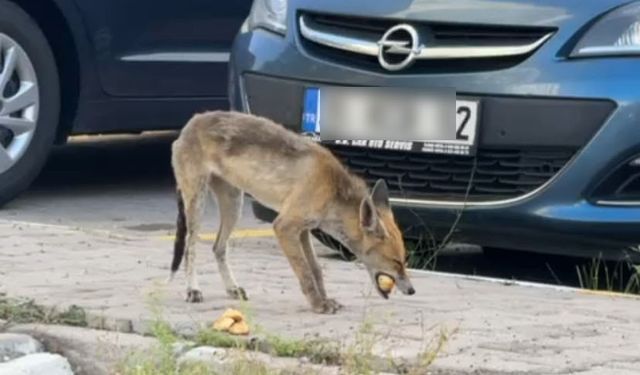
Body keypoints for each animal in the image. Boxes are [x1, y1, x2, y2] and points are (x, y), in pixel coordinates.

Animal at [171, 111, 416, 314]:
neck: (331, 189)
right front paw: (318, 305)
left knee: (218, 248)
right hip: (198, 203)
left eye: (404, 260)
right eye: (395, 261)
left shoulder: (303, 230)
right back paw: (192, 290)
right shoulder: (284, 226)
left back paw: (232, 288)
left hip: (233, 206)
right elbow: (305, 273)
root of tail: (192, 121)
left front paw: (325, 299)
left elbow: (315, 270)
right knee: (190, 249)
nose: (412, 290)